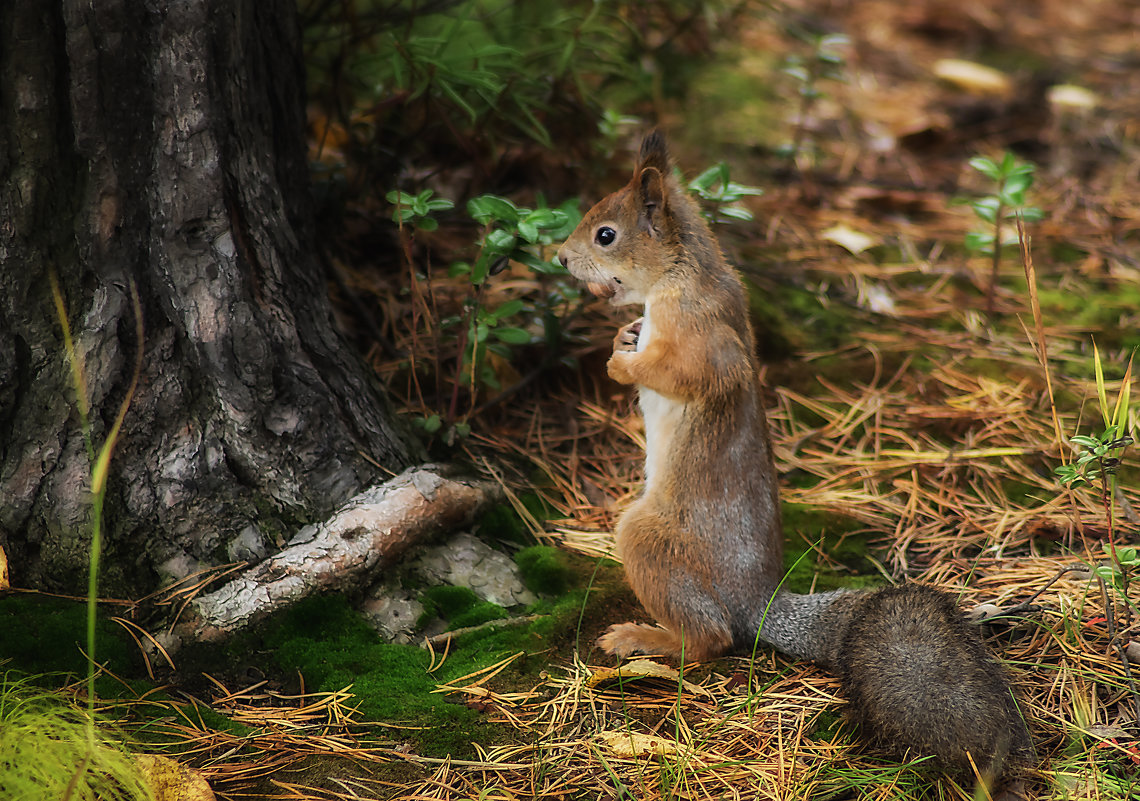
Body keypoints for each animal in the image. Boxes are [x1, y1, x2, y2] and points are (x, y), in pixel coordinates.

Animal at [556, 133, 1030, 783]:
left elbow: (686, 373)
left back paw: (644, 639)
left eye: (606, 234)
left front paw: (622, 364)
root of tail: (757, 603)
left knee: (712, 639)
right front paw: (623, 336)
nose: (559, 258)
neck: (679, 275)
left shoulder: (703, 335)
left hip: (649, 539)